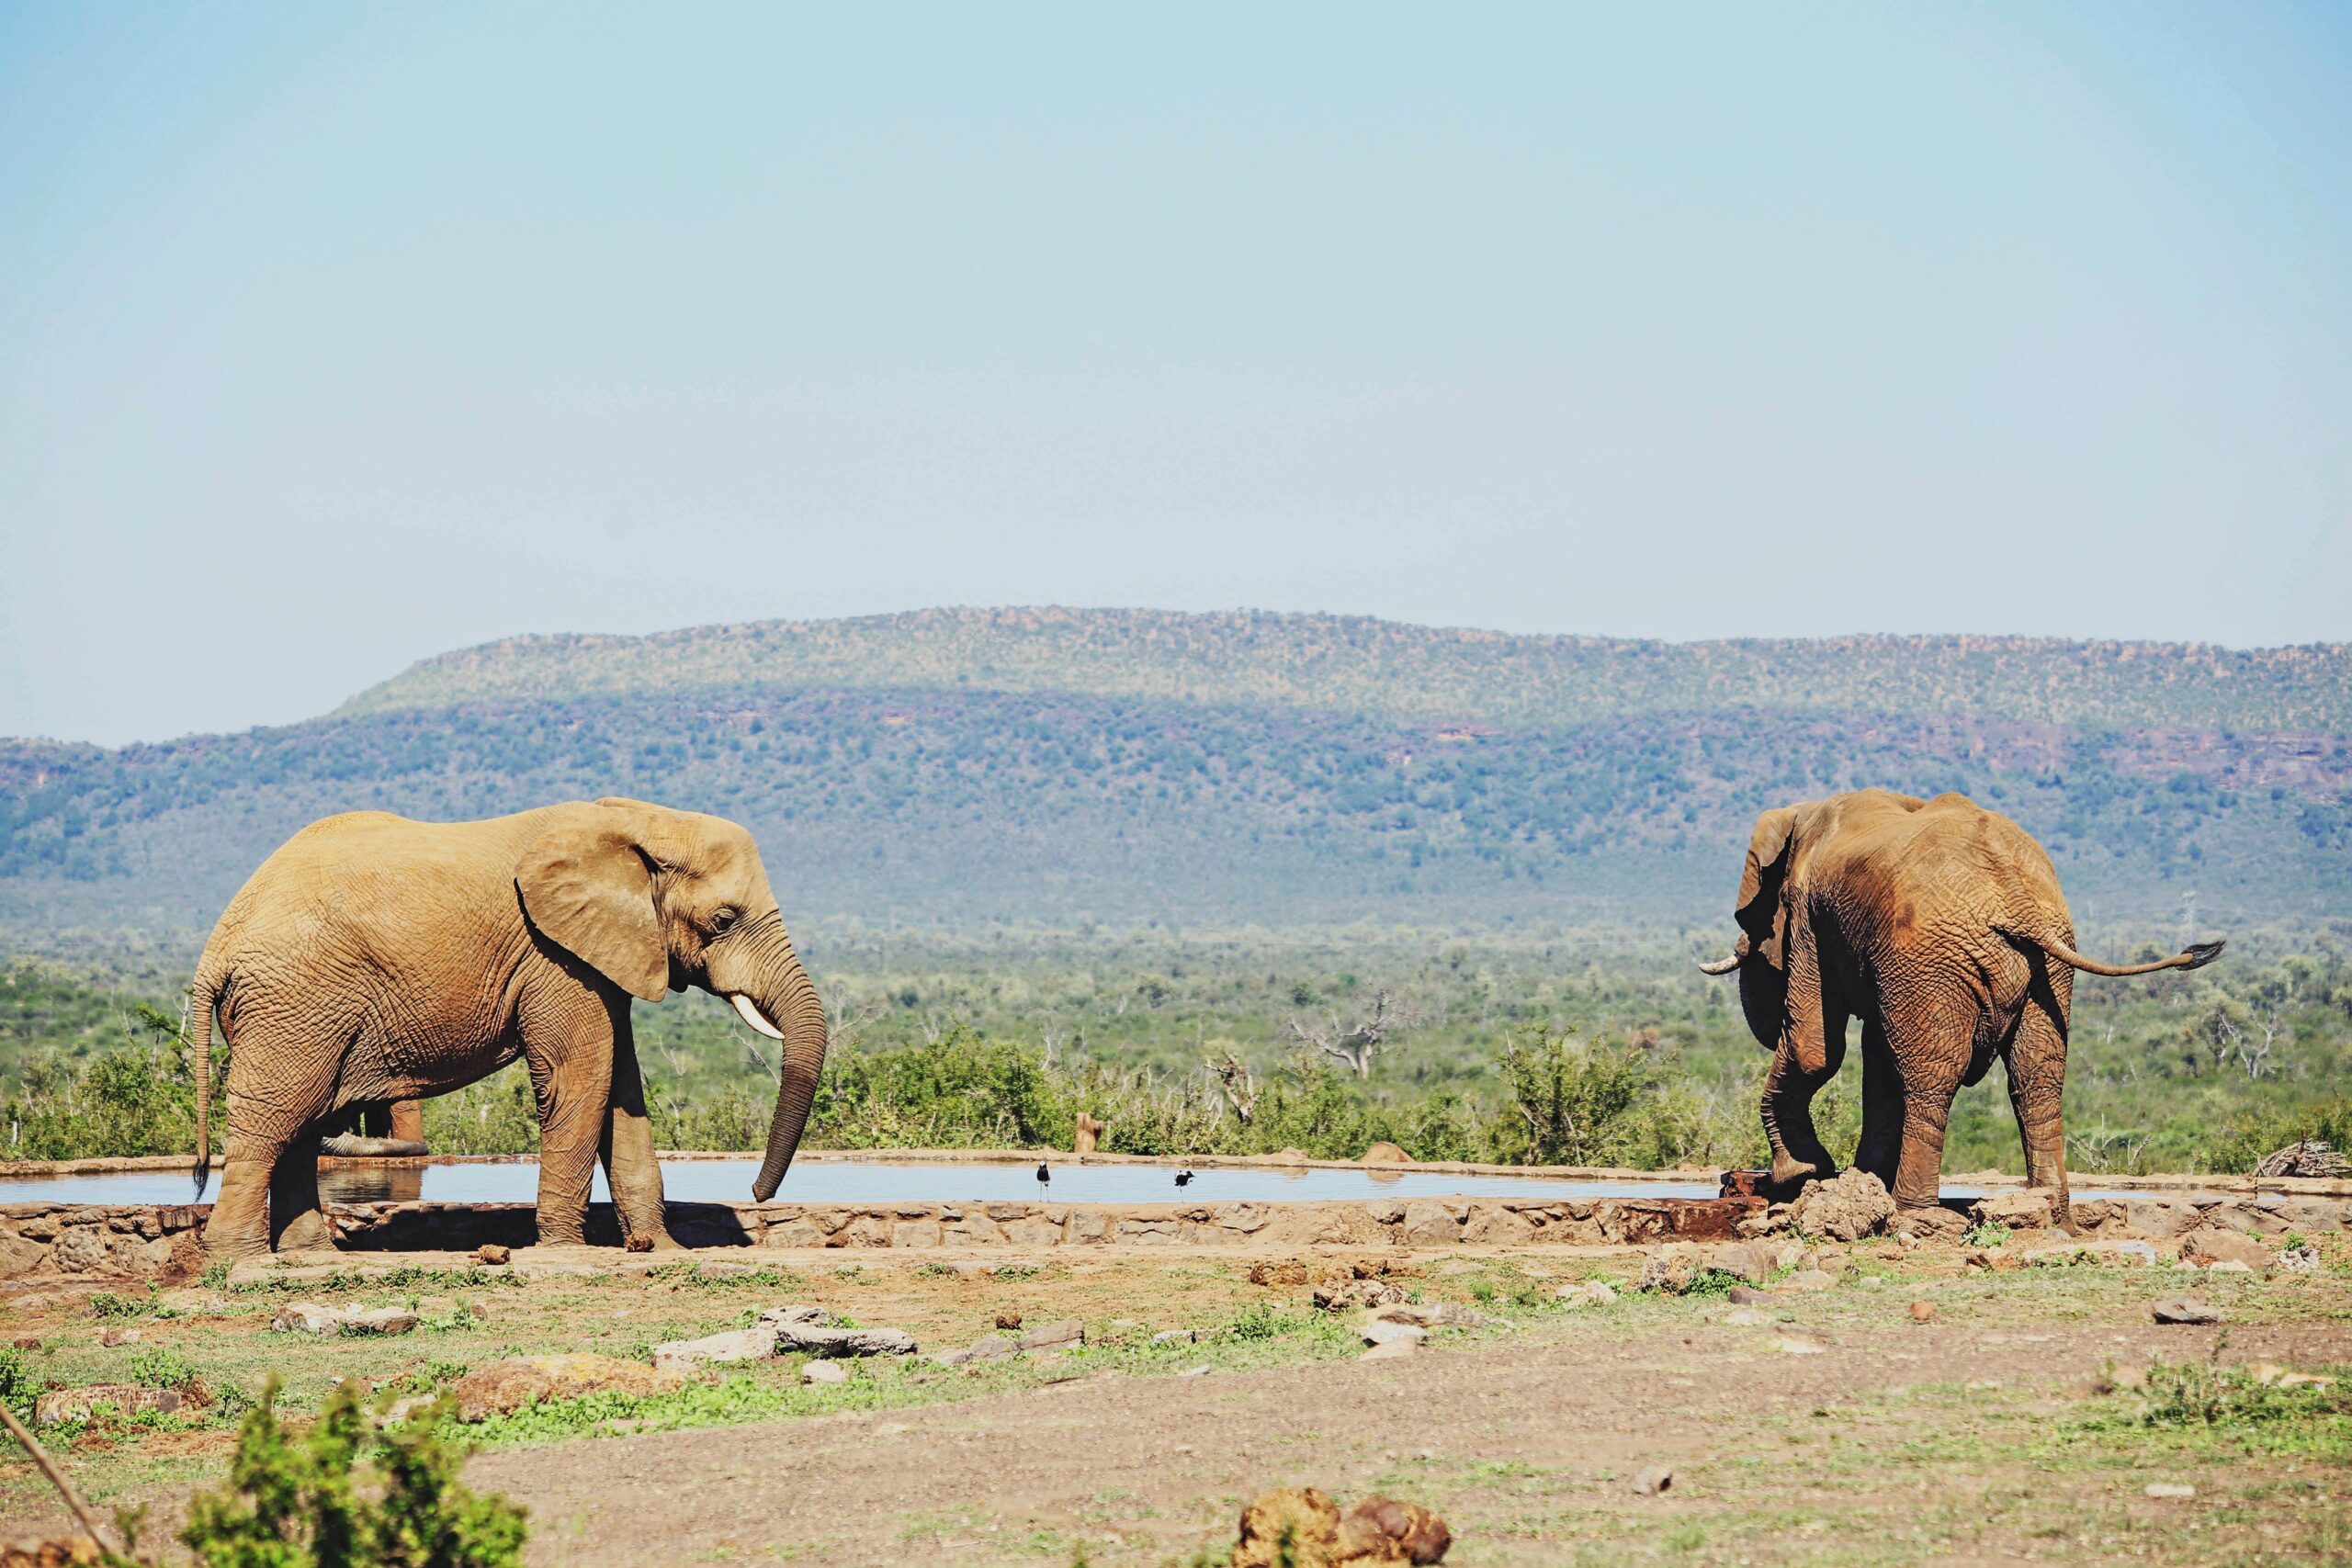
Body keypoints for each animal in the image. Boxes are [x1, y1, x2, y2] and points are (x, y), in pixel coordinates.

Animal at [192, 804, 837, 1259]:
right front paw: (566, 1251)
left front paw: (662, 1249)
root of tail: (216, 948)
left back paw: (309, 1255)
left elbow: (621, 1089)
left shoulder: (603, 954)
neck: (632, 821)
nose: (755, 1194)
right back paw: (241, 1259)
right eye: (723, 920)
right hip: (294, 1000)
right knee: (276, 1116)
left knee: (302, 1120)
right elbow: (579, 1076)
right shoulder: (553, 954)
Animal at [1702, 789, 2211, 1222]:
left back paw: (1912, 1213)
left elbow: (1815, 1053)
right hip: (2034, 967)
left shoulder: (1809, 915)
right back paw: (2053, 1212)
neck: (1802, 814)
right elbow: (1875, 1060)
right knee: (2037, 1078)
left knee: (1932, 1077)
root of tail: (2019, 902)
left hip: (1932, 959)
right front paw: (1855, 1182)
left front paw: (1805, 1175)